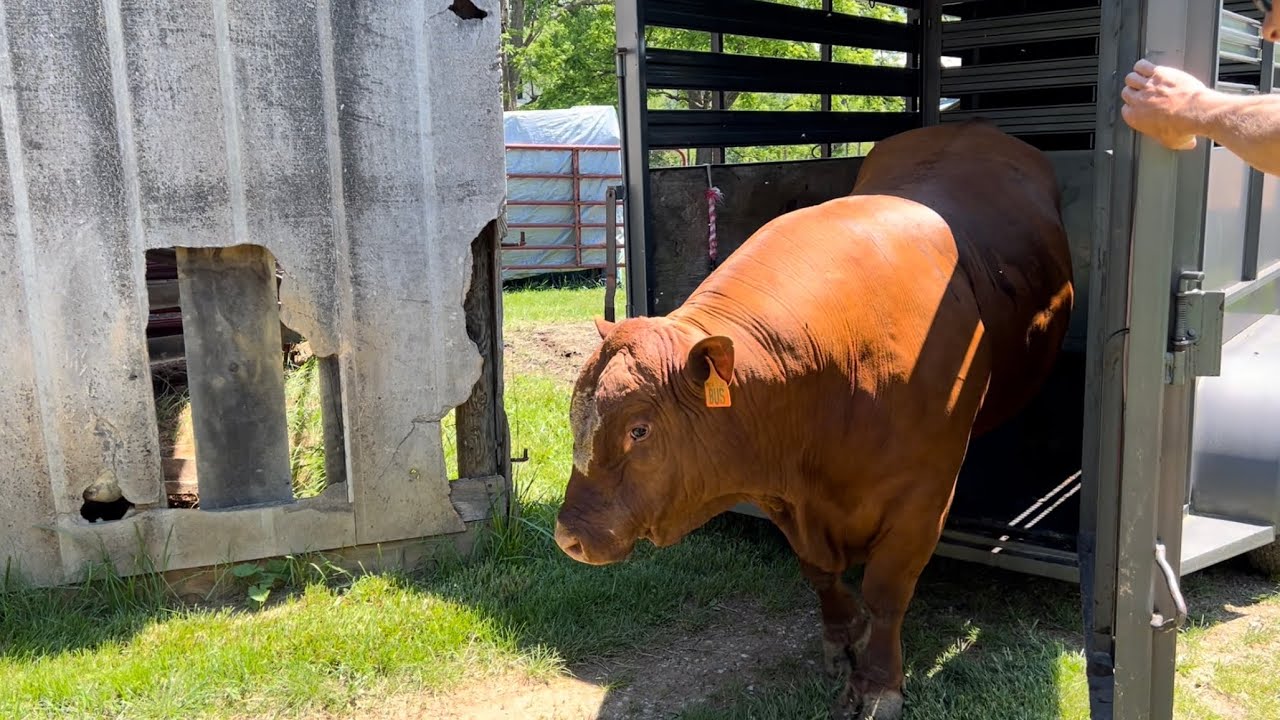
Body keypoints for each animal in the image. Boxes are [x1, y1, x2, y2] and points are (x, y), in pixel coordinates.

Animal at [553, 120, 1074, 720]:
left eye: (639, 430)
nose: (569, 536)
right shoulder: (787, 496)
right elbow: (819, 572)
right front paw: (842, 638)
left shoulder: (923, 497)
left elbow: (887, 591)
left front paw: (878, 683)